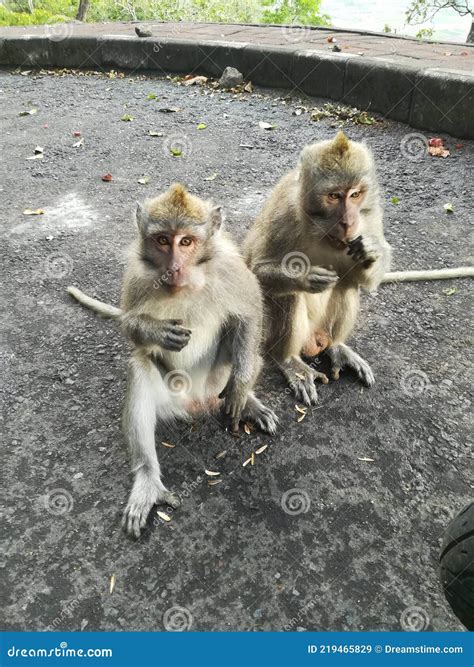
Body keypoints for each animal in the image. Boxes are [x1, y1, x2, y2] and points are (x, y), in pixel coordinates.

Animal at [68, 184, 278, 537]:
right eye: (163, 240)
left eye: (187, 242)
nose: (174, 267)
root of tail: (198, 404)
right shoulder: (137, 275)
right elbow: (131, 327)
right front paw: (155, 331)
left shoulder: (228, 268)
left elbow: (249, 312)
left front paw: (240, 390)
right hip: (171, 397)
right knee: (140, 368)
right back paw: (147, 480)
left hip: (215, 383)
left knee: (235, 334)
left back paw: (246, 399)